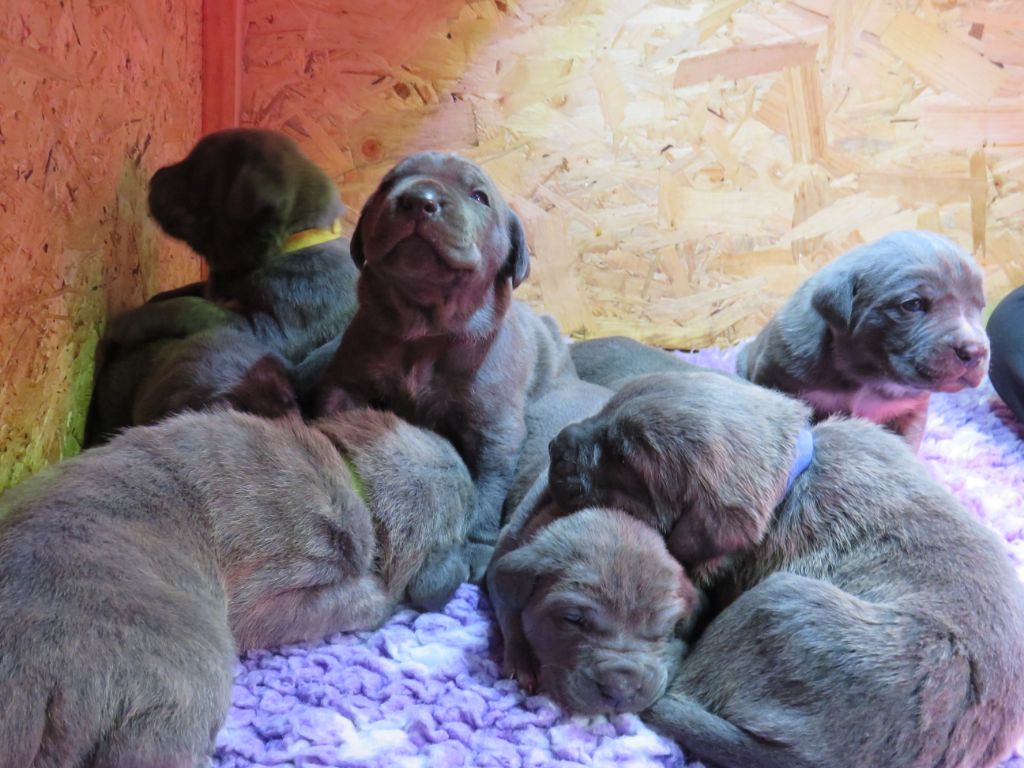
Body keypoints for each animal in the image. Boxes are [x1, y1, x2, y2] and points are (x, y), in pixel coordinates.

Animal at [87, 128, 360, 444]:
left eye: (200, 173)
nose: (155, 176)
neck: (290, 242)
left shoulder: (270, 330)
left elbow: (192, 308)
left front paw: (128, 323)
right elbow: (186, 292)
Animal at [317, 151, 573, 606]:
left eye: (479, 196)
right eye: (388, 185)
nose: (419, 200)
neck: (425, 332)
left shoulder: (494, 427)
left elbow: (487, 489)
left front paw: (473, 547)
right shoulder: (347, 381)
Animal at [737, 231, 991, 454]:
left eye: (980, 306)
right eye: (912, 304)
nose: (976, 351)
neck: (867, 376)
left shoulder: (910, 410)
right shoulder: (775, 375)